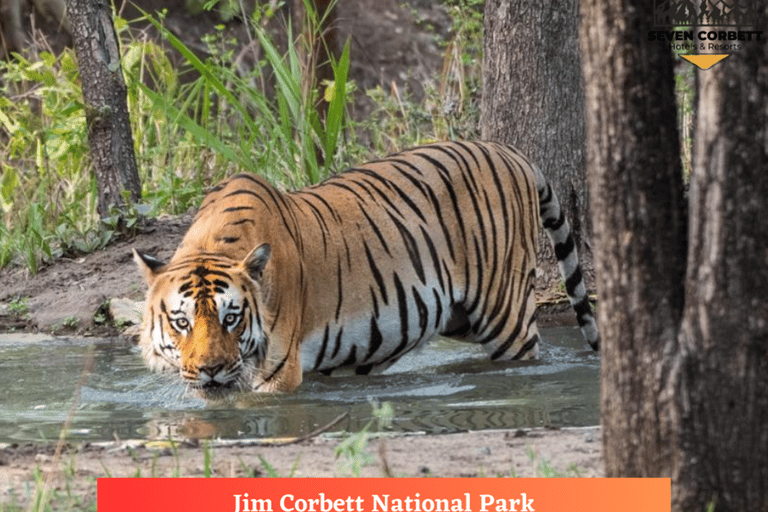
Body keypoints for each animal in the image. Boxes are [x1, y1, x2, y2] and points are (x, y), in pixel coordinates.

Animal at [134, 141, 600, 400]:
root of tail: (511, 152)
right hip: (459, 317)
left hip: (504, 315)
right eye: (181, 321)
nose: (211, 369)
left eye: (231, 318)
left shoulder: (277, 374)